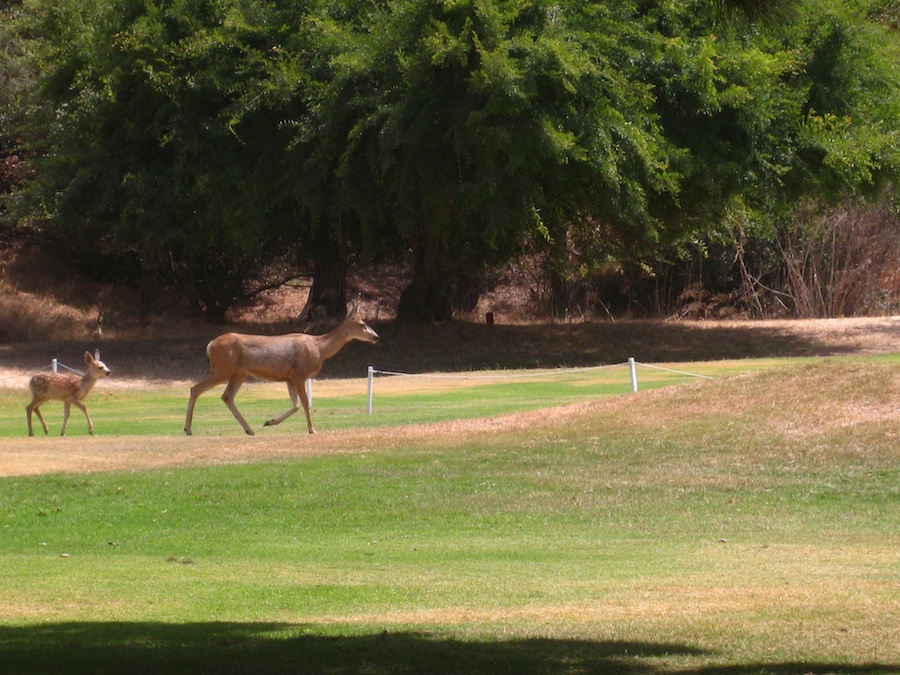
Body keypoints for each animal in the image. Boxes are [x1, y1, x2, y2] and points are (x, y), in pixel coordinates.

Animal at [183, 300, 380, 436]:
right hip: (222, 368)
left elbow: (296, 405)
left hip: (239, 373)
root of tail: (210, 345)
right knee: (195, 388)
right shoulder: (299, 374)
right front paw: (312, 429)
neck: (319, 348)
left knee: (227, 396)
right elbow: (305, 403)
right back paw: (188, 429)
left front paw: (269, 421)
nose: (376, 336)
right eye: (362, 324)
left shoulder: (288, 377)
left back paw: (250, 430)